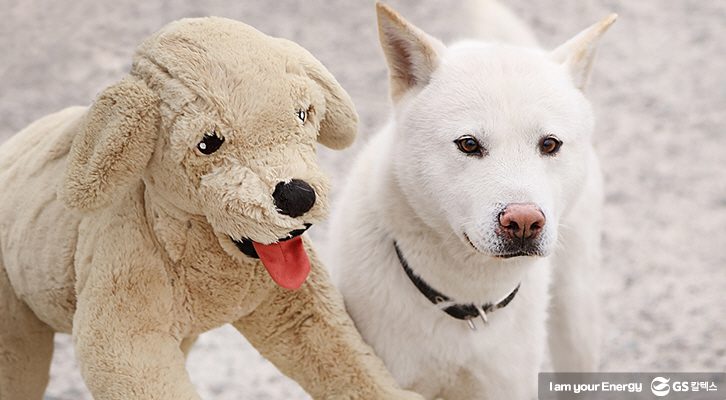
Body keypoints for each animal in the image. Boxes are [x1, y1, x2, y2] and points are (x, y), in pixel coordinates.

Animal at [328, 1, 616, 398]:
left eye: (549, 144)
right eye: (468, 144)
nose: (523, 221)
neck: (464, 301)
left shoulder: (506, 383)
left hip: (577, 319)